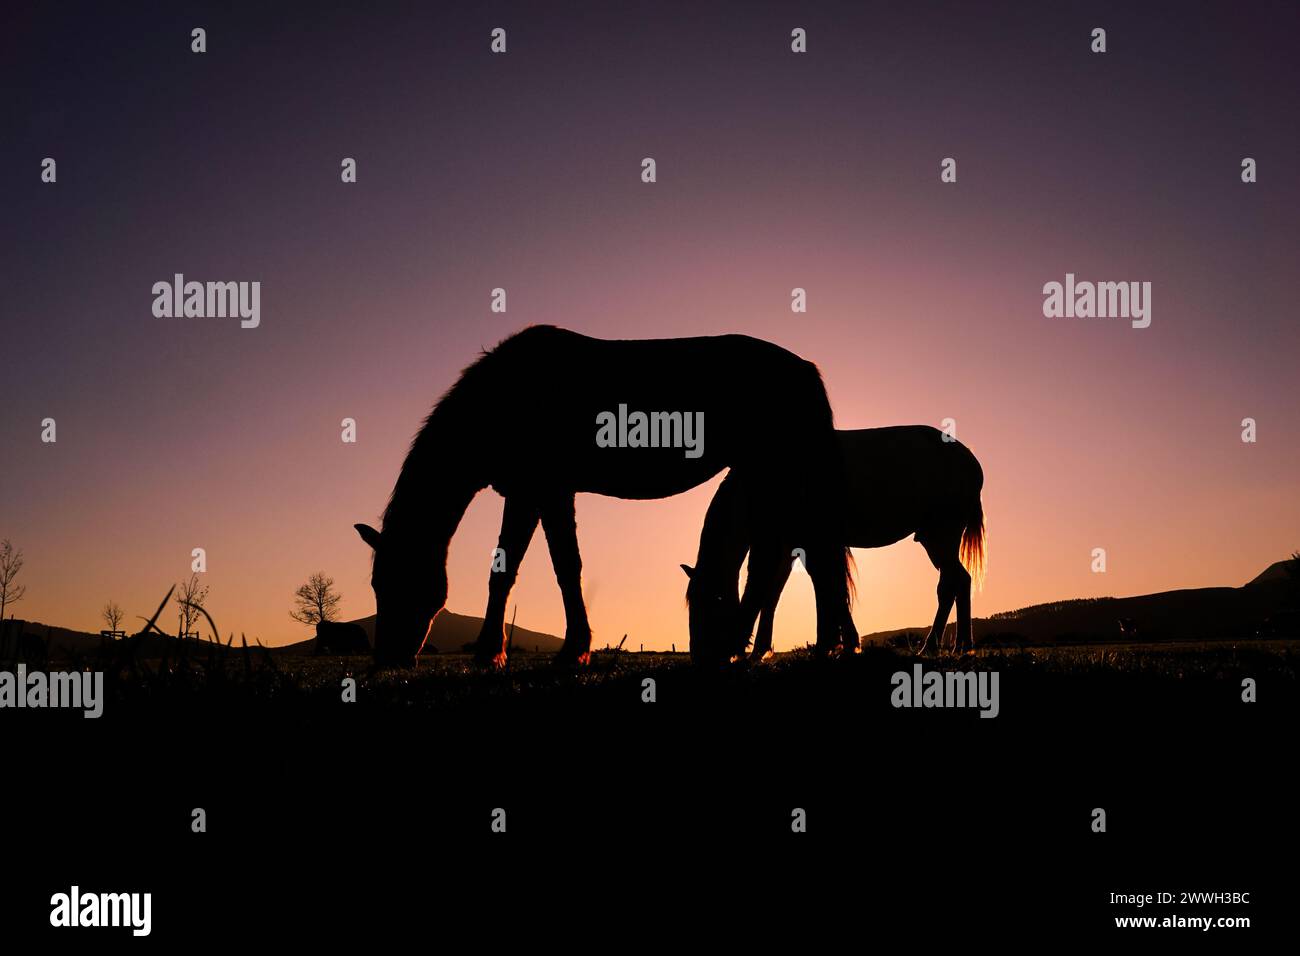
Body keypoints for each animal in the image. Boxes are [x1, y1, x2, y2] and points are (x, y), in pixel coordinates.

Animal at [356, 325, 852, 671]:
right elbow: (513, 569)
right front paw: (497, 654)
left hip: (777, 476)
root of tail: (805, 368)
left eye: (398, 581)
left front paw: (565, 651)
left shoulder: (544, 492)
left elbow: (557, 568)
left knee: (794, 562)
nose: (388, 660)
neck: (505, 398)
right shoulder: (529, 494)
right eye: (377, 584)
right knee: (796, 562)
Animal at [686, 429, 977, 660]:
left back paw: (946, 645)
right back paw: (953, 646)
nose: (700, 656)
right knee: (954, 583)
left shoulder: (811, 544)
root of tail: (970, 461)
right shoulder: (790, 547)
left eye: (712, 600)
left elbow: (827, 587)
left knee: (956, 582)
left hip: (940, 535)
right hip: (935, 539)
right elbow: (778, 593)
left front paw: (831, 645)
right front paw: (762, 650)